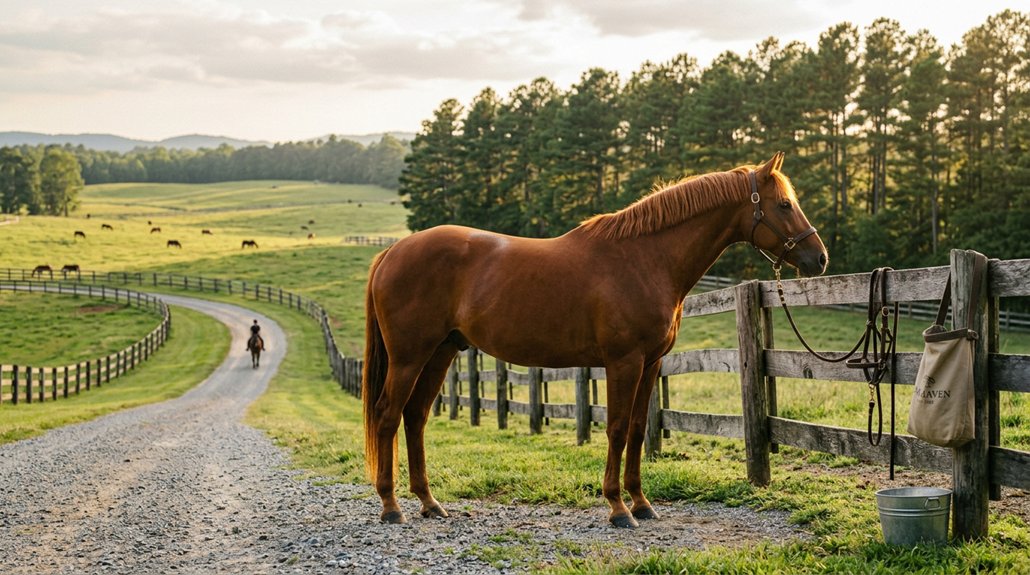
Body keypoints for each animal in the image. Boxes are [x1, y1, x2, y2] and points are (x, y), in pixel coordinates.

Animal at [362, 153, 828, 528]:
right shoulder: (624, 362)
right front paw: (618, 508)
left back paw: (429, 503)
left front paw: (641, 504)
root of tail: (391, 252)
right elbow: (617, 429)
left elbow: (638, 430)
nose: (819, 258)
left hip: (440, 353)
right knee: (388, 416)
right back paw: (391, 507)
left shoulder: (651, 363)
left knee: (415, 417)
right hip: (409, 357)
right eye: (784, 205)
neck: (643, 259)